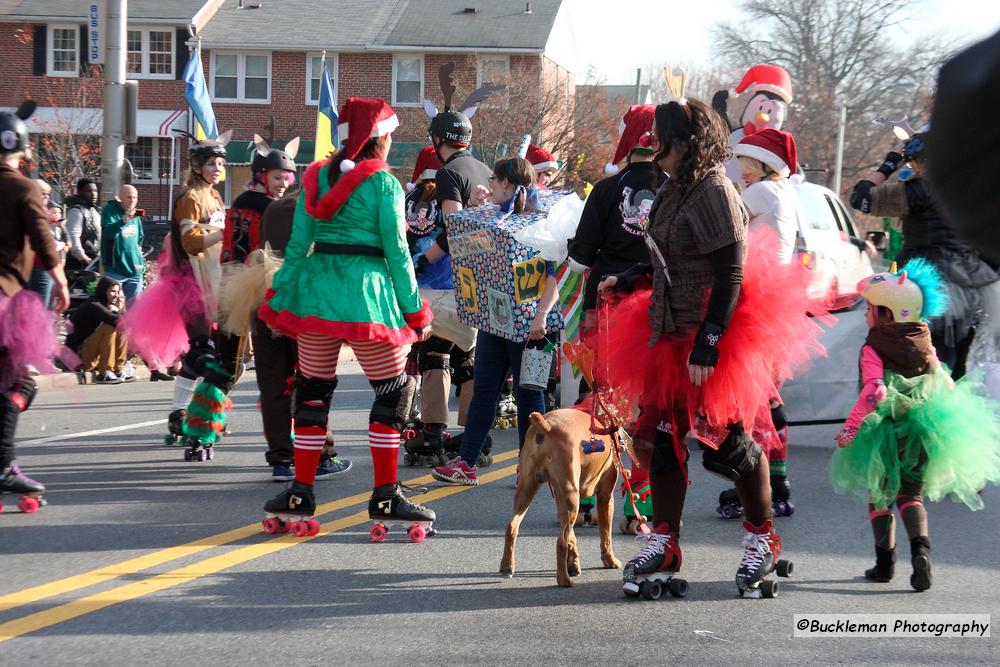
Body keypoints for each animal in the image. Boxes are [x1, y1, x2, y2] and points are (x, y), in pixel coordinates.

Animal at [498, 410, 616, 588]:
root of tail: (546, 426)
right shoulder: (605, 496)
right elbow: (606, 534)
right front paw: (610, 561)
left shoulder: (561, 499)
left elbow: (571, 536)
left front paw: (573, 564)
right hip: (572, 497)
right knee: (560, 543)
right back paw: (564, 580)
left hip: (528, 489)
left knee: (512, 525)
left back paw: (507, 566)